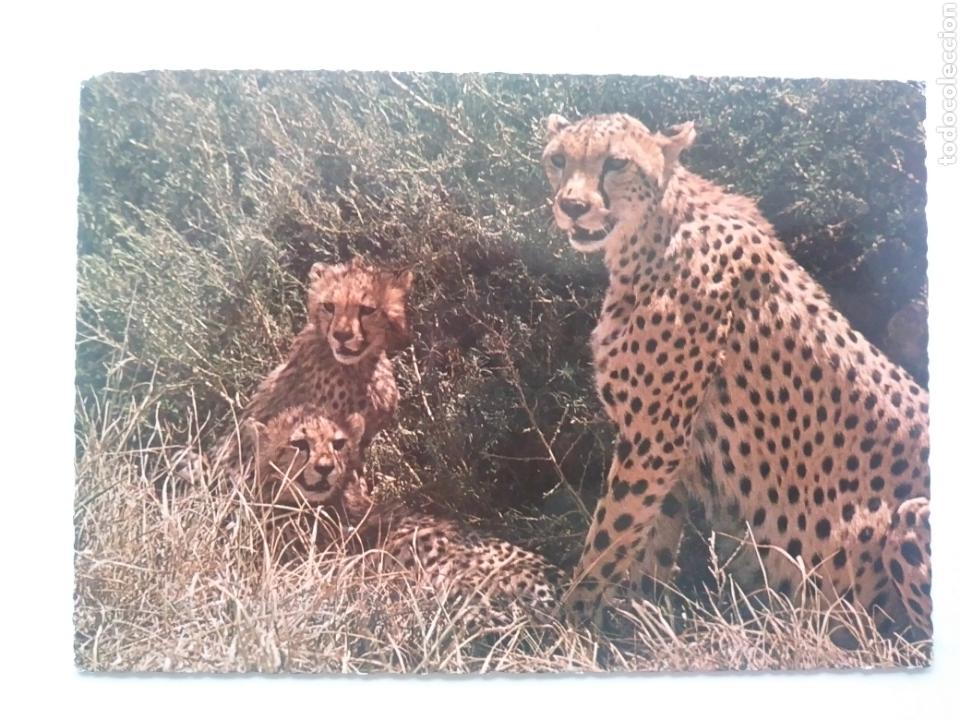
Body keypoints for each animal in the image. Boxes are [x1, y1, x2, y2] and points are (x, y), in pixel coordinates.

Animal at [540, 111, 931, 639]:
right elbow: (647, 549)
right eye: (558, 159)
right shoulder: (668, 454)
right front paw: (643, 634)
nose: (573, 206)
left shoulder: (654, 441)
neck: (653, 233)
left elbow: (606, 541)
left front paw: (563, 632)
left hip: (910, 517)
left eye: (616, 162)